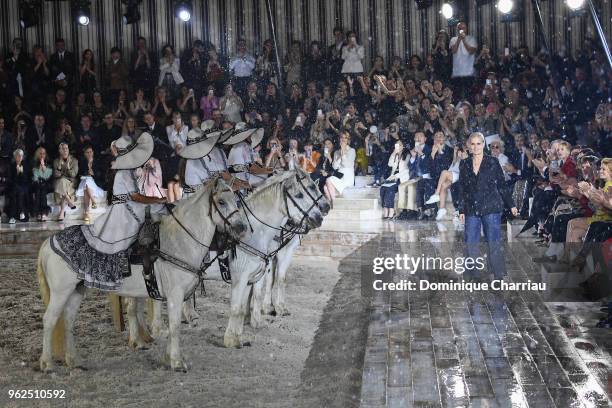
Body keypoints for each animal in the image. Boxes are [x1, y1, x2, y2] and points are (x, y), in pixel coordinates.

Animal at [37, 177, 247, 372]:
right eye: (221, 202)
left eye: (235, 201)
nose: (241, 228)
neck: (179, 241)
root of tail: (48, 243)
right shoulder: (175, 294)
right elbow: (175, 326)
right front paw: (177, 362)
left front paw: (168, 358)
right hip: (61, 292)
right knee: (49, 321)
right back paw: (47, 363)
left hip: (77, 291)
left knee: (68, 321)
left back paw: (74, 361)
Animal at [225, 169, 330, 348]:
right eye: (309, 188)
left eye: (316, 186)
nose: (325, 208)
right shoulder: (272, 255)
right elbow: (265, 283)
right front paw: (263, 310)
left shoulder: (285, 251)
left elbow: (278, 279)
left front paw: (272, 309)